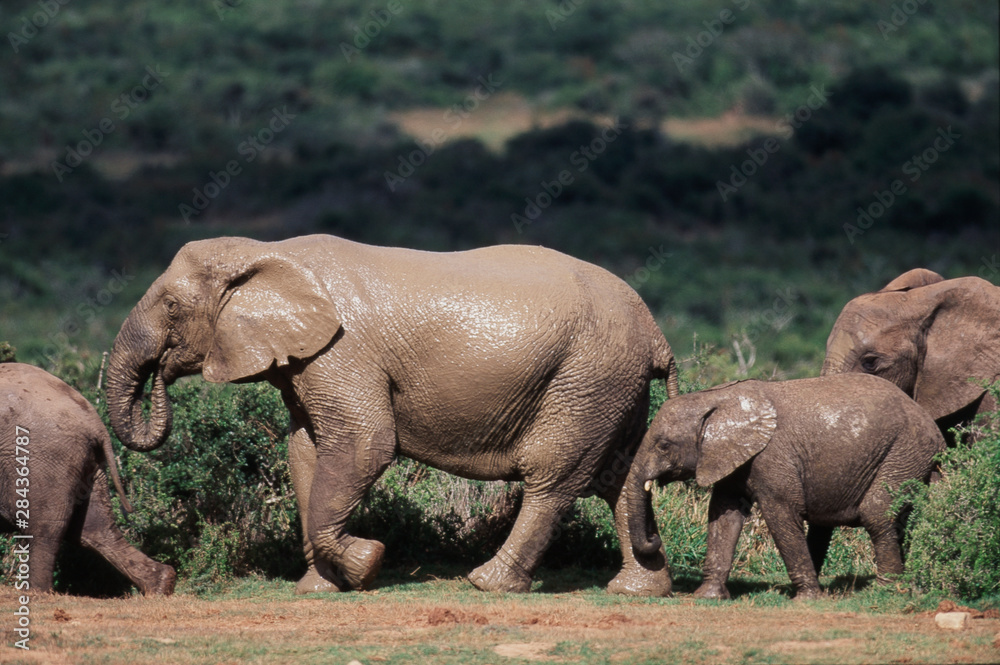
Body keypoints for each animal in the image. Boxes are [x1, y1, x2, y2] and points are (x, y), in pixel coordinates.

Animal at [0, 363, 176, 595]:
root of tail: (96, 424)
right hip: (86, 463)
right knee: (94, 529)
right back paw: (162, 585)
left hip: (43, 458)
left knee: (43, 527)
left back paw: (35, 593)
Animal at [104, 234, 679, 595]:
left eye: (172, 307)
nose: (161, 374)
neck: (268, 251)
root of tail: (656, 333)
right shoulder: (307, 362)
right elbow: (305, 451)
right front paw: (319, 589)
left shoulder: (341, 351)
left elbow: (364, 443)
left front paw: (367, 564)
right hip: (611, 382)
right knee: (621, 477)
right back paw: (637, 591)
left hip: (587, 375)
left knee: (554, 477)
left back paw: (487, 584)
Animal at [626, 373, 945, 600]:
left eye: (664, 445)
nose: (655, 540)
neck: (720, 398)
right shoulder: (732, 459)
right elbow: (723, 516)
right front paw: (707, 597)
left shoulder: (772, 457)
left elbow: (781, 514)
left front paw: (807, 599)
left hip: (905, 450)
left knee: (877, 513)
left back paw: (885, 590)